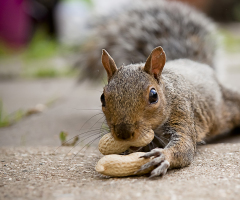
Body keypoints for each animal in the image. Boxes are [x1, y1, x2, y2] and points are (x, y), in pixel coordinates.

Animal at [80, 0, 240, 177]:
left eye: (153, 95)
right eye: (102, 98)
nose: (124, 133)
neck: (167, 93)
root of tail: (199, 65)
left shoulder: (182, 110)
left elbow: (184, 146)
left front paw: (162, 156)